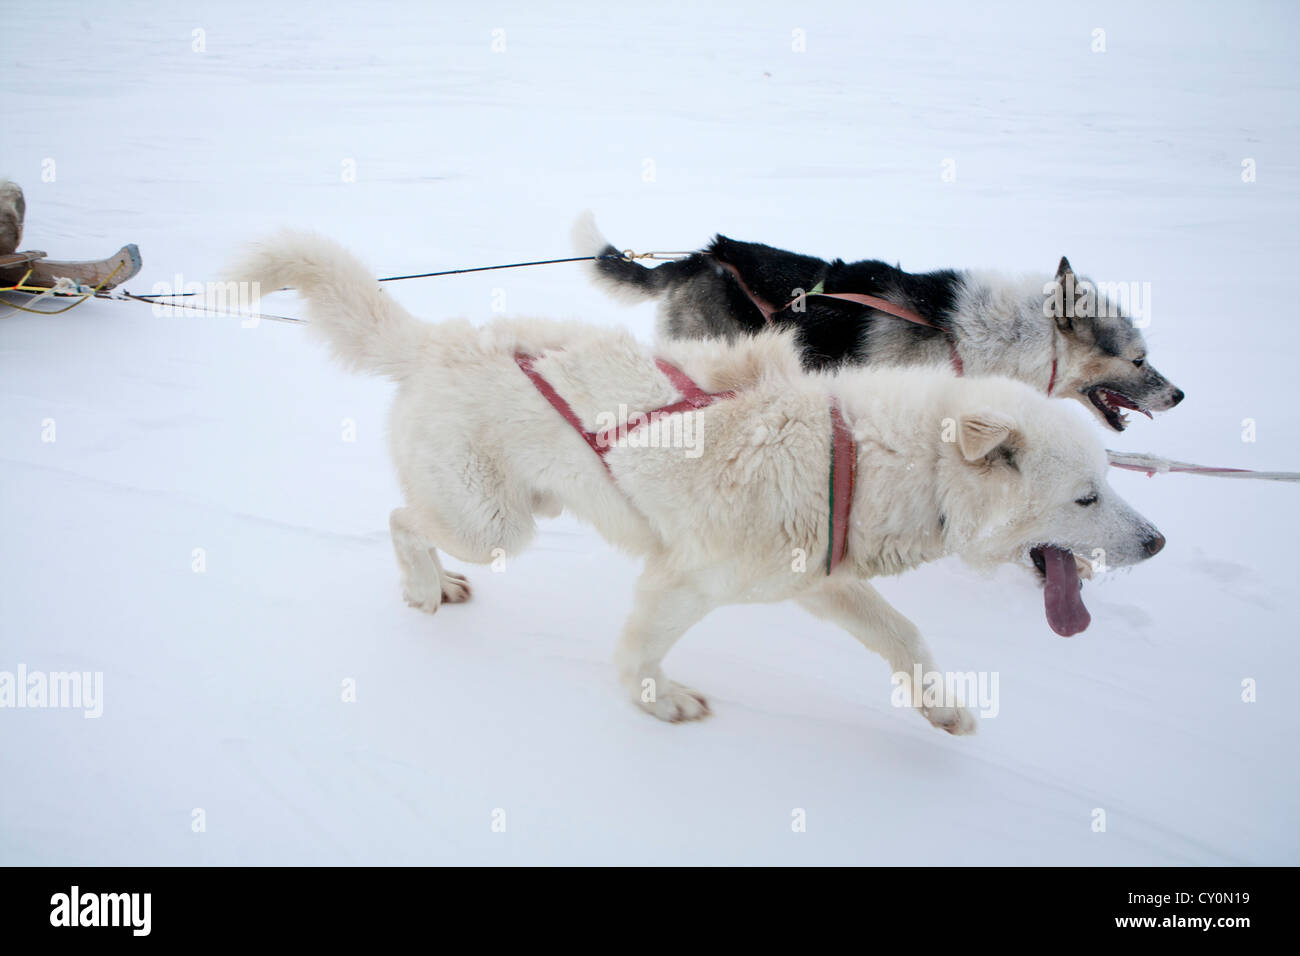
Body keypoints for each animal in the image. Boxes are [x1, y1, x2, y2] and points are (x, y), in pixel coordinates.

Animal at [226, 234, 1170, 738]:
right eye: (1086, 497)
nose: (1158, 542)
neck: (855, 452)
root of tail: (440, 340)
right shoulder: (680, 581)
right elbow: (638, 654)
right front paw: (660, 703)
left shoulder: (826, 582)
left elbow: (906, 637)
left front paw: (940, 709)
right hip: (494, 524)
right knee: (399, 517)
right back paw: (426, 587)